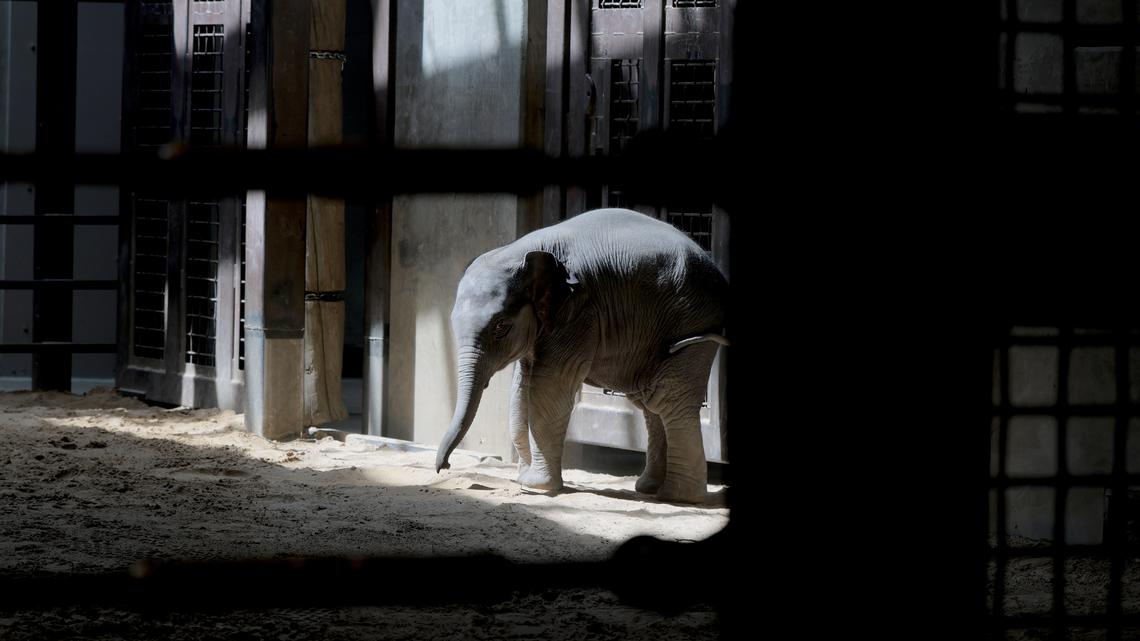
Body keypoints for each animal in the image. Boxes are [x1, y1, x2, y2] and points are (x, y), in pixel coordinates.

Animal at [434, 208, 728, 503]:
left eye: (500, 326)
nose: (443, 466)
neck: (519, 251)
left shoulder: (579, 313)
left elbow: (548, 386)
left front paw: (536, 486)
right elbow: (521, 390)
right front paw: (524, 478)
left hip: (695, 325)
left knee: (669, 399)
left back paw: (678, 497)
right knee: (650, 403)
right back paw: (649, 488)